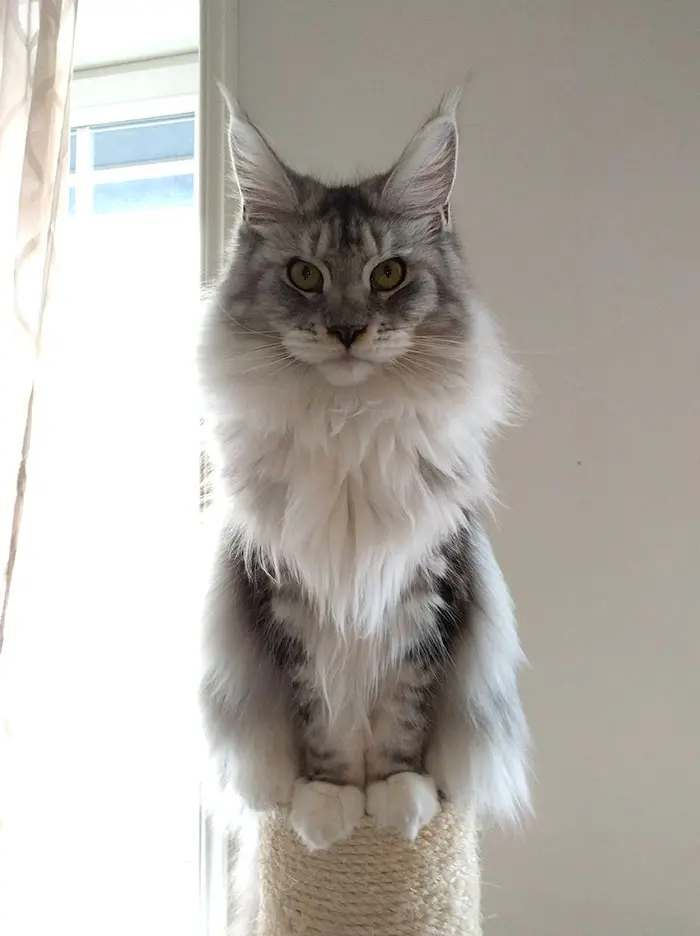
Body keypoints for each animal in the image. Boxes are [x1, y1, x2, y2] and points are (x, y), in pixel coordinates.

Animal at [197, 88, 532, 928]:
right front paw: (328, 810)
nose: (347, 330)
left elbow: (400, 718)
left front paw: (395, 805)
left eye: (387, 275)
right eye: (304, 275)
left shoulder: (428, 589)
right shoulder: (285, 595)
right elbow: (320, 719)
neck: (346, 427)